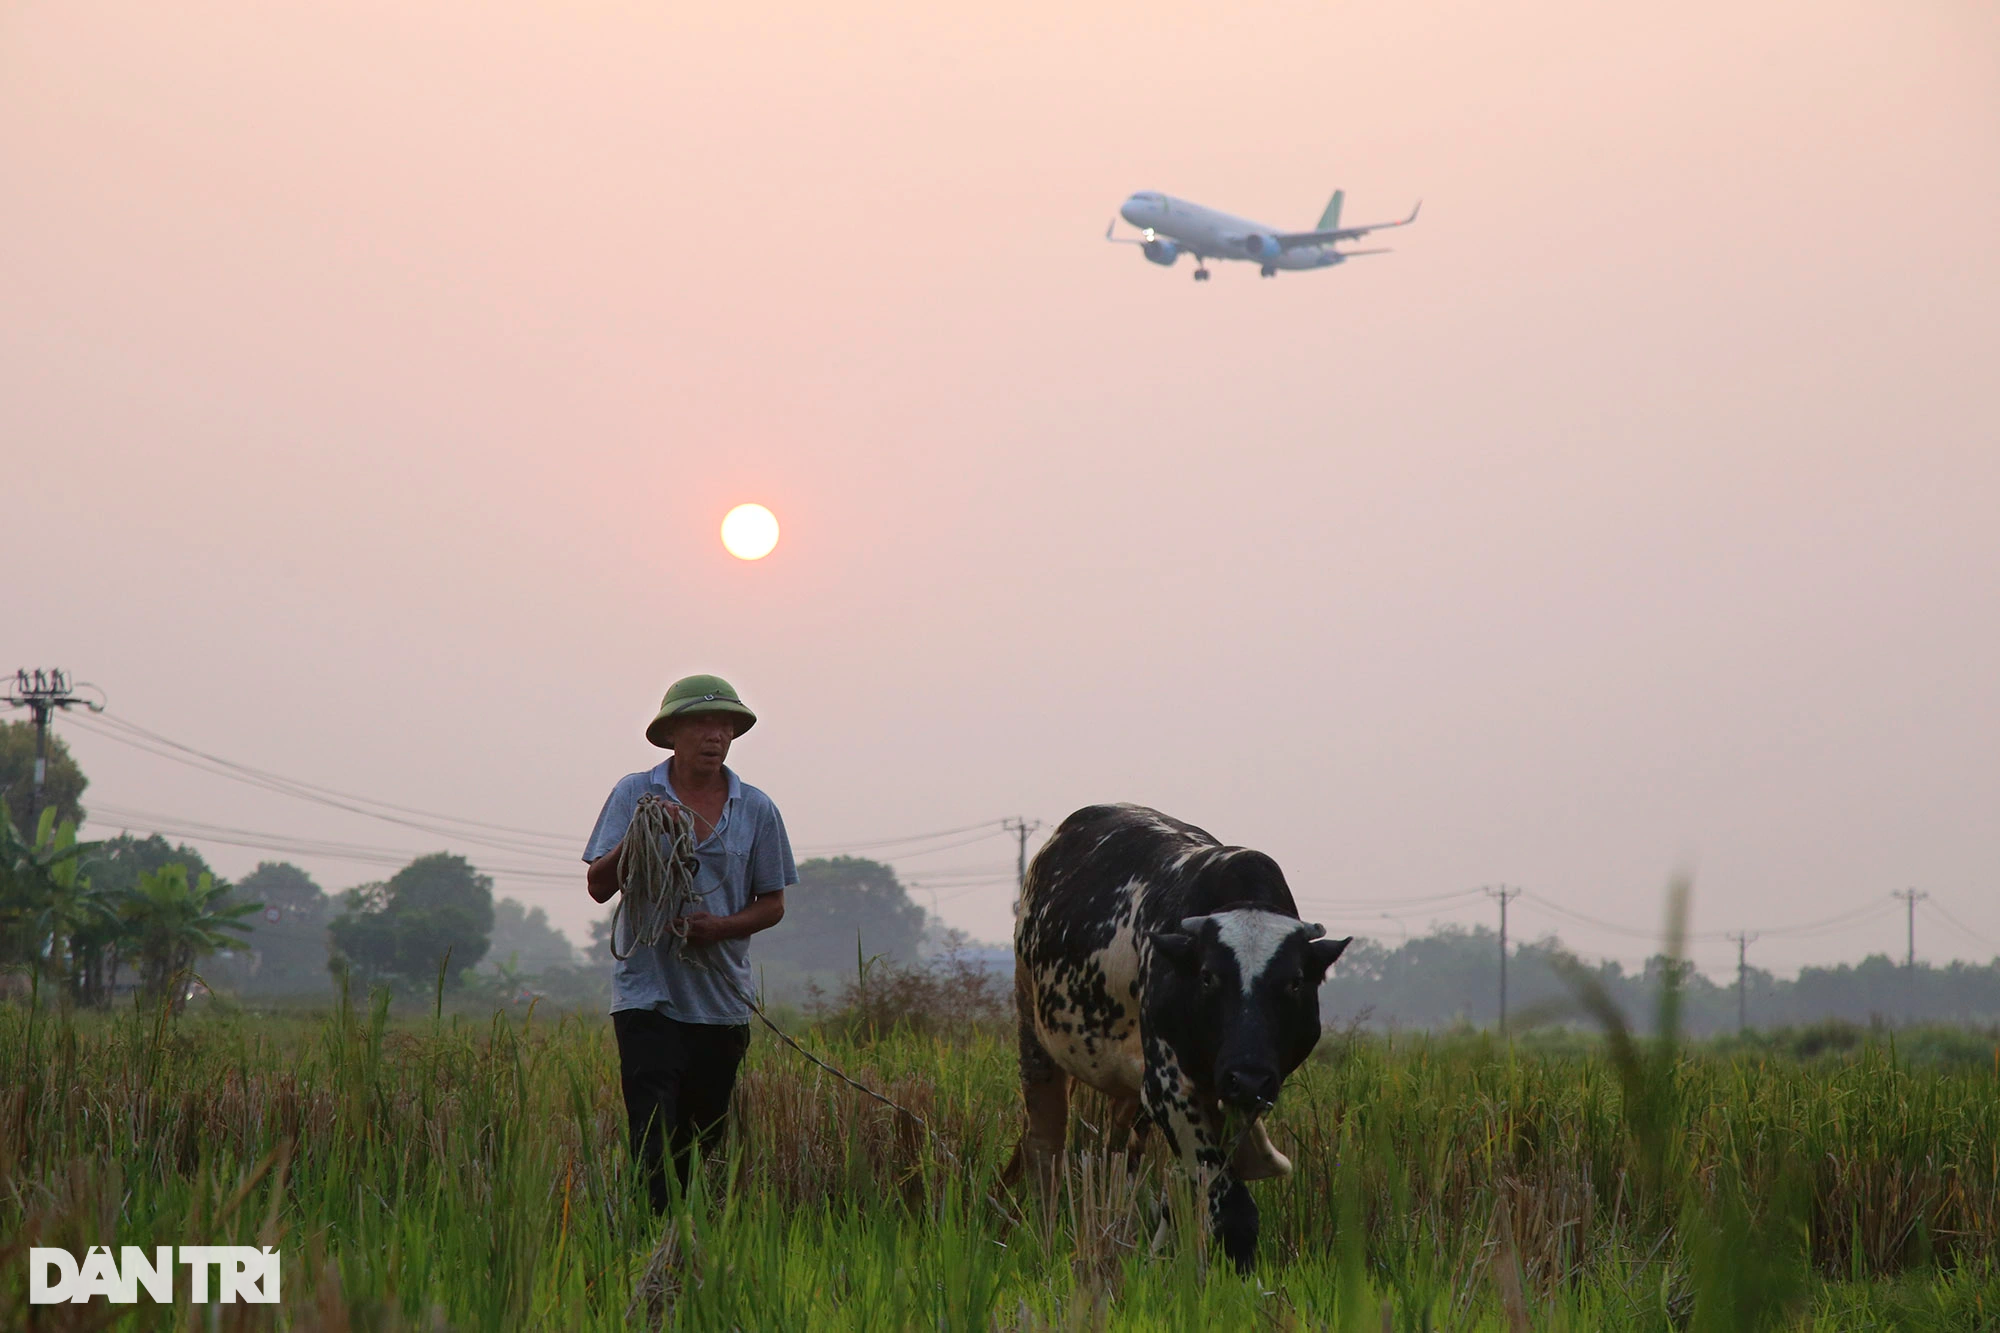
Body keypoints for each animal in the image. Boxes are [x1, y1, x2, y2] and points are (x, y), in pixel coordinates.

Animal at [1008, 800, 1352, 1264]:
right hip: (1036, 1038)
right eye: (1207, 977)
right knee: (1045, 1148)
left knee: (1121, 1157)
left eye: (1295, 982)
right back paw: (1046, 1248)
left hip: (1130, 1090)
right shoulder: (1167, 1086)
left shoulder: (1241, 1095)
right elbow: (1232, 1210)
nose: (1246, 1076)